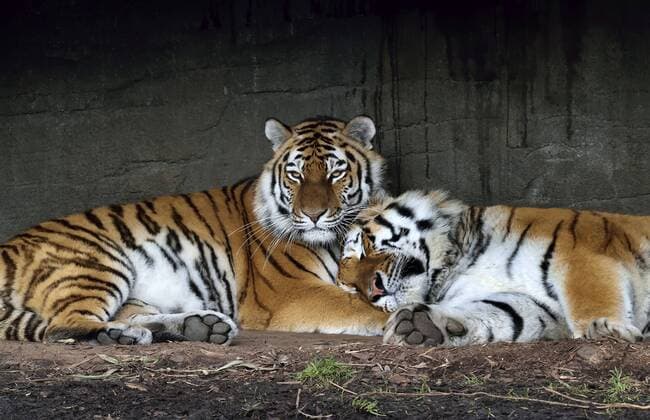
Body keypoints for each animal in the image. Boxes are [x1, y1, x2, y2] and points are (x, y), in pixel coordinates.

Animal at [0, 115, 391, 345]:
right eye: (295, 174)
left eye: (335, 172)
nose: (313, 215)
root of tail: (6, 247)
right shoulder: (293, 292)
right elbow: (364, 307)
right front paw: (399, 320)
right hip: (99, 263)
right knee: (62, 326)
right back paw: (125, 336)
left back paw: (197, 326)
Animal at [337, 190, 650, 347]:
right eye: (352, 288)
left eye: (363, 247)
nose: (373, 291)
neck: (456, 261)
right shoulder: (536, 302)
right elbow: (499, 312)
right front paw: (420, 325)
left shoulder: (580, 254)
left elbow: (592, 295)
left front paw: (605, 329)